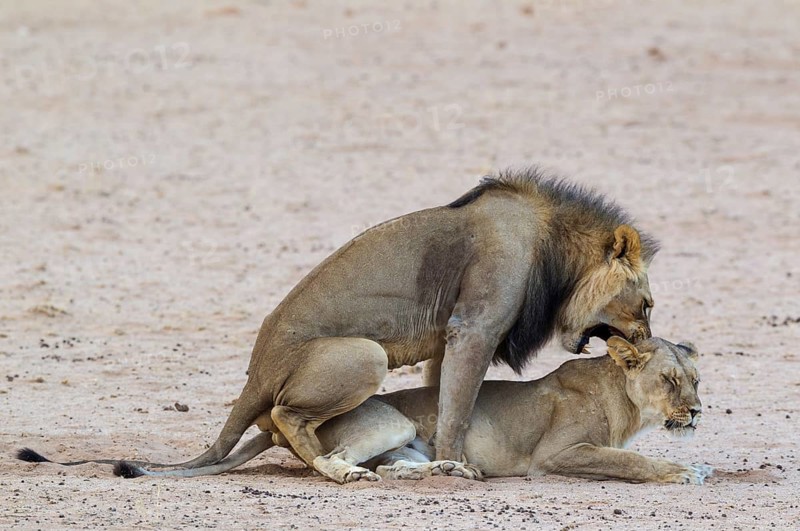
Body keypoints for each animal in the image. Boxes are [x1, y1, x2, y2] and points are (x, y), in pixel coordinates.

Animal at [17, 168, 659, 482]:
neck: (555, 249)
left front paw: (444, 457)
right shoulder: (474, 326)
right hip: (365, 355)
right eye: (647, 307)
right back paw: (340, 470)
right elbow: (456, 408)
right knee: (285, 415)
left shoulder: (451, 336)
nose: (651, 344)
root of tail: (255, 373)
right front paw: (458, 467)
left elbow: (446, 398)